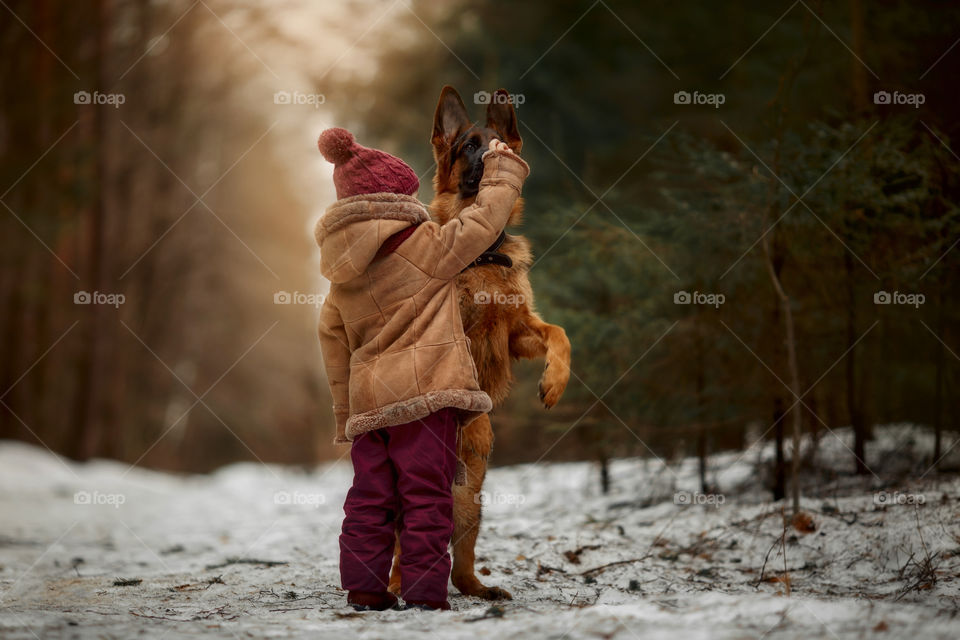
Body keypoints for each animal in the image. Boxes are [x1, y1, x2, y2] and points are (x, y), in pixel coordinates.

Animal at [390, 86, 568, 600]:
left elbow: (559, 334)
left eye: (498, 143)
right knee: (399, 552)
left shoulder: (517, 333)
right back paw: (393, 588)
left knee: (458, 560)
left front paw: (554, 384)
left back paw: (477, 588)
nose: (491, 159)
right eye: (469, 145)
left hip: (470, 501)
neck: (483, 254)